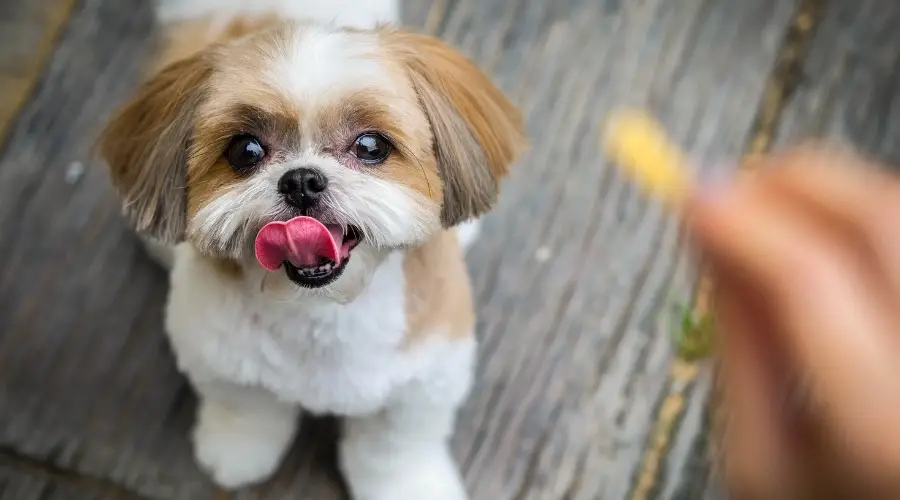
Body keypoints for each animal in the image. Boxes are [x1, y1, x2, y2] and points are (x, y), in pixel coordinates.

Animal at [100, 0, 528, 496]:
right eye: (245, 150)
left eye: (370, 145)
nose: (302, 180)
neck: (321, 309)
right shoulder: (220, 358)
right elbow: (245, 409)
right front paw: (236, 452)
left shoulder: (423, 380)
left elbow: (393, 450)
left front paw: (407, 486)